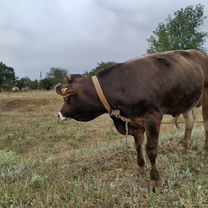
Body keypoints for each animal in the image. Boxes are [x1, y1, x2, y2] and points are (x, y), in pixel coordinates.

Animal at [56, 49, 208, 189]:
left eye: (67, 98)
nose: (59, 114)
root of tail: (200, 52)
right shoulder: (134, 121)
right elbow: (138, 146)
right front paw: (140, 168)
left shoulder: (153, 118)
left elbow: (151, 148)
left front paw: (155, 179)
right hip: (186, 99)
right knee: (190, 122)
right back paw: (184, 149)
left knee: (206, 124)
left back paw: (205, 150)